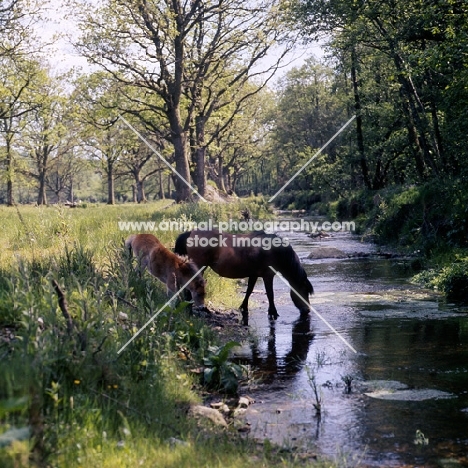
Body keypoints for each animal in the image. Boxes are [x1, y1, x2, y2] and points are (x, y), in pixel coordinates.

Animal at [174, 230, 312, 326]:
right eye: (305, 291)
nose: (307, 310)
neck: (274, 250)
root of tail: (190, 233)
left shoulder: (254, 274)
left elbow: (249, 291)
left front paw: (243, 308)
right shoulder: (268, 276)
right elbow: (270, 294)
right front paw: (273, 313)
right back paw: (190, 311)